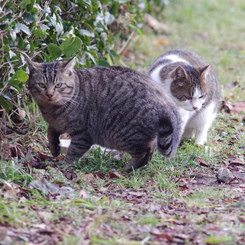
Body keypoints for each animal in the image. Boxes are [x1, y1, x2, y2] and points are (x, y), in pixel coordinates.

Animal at [25, 57, 181, 172]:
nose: (49, 94)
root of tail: (167, 101)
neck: (52, 110)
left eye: (58, 85)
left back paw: (126, 169)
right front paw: (54, 148)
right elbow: (50, 132)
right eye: (42, 85)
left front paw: (63, 166)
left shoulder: (82, 134)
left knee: (146, 153)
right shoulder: (58, 124)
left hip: (127, 136)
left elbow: (72, 152)